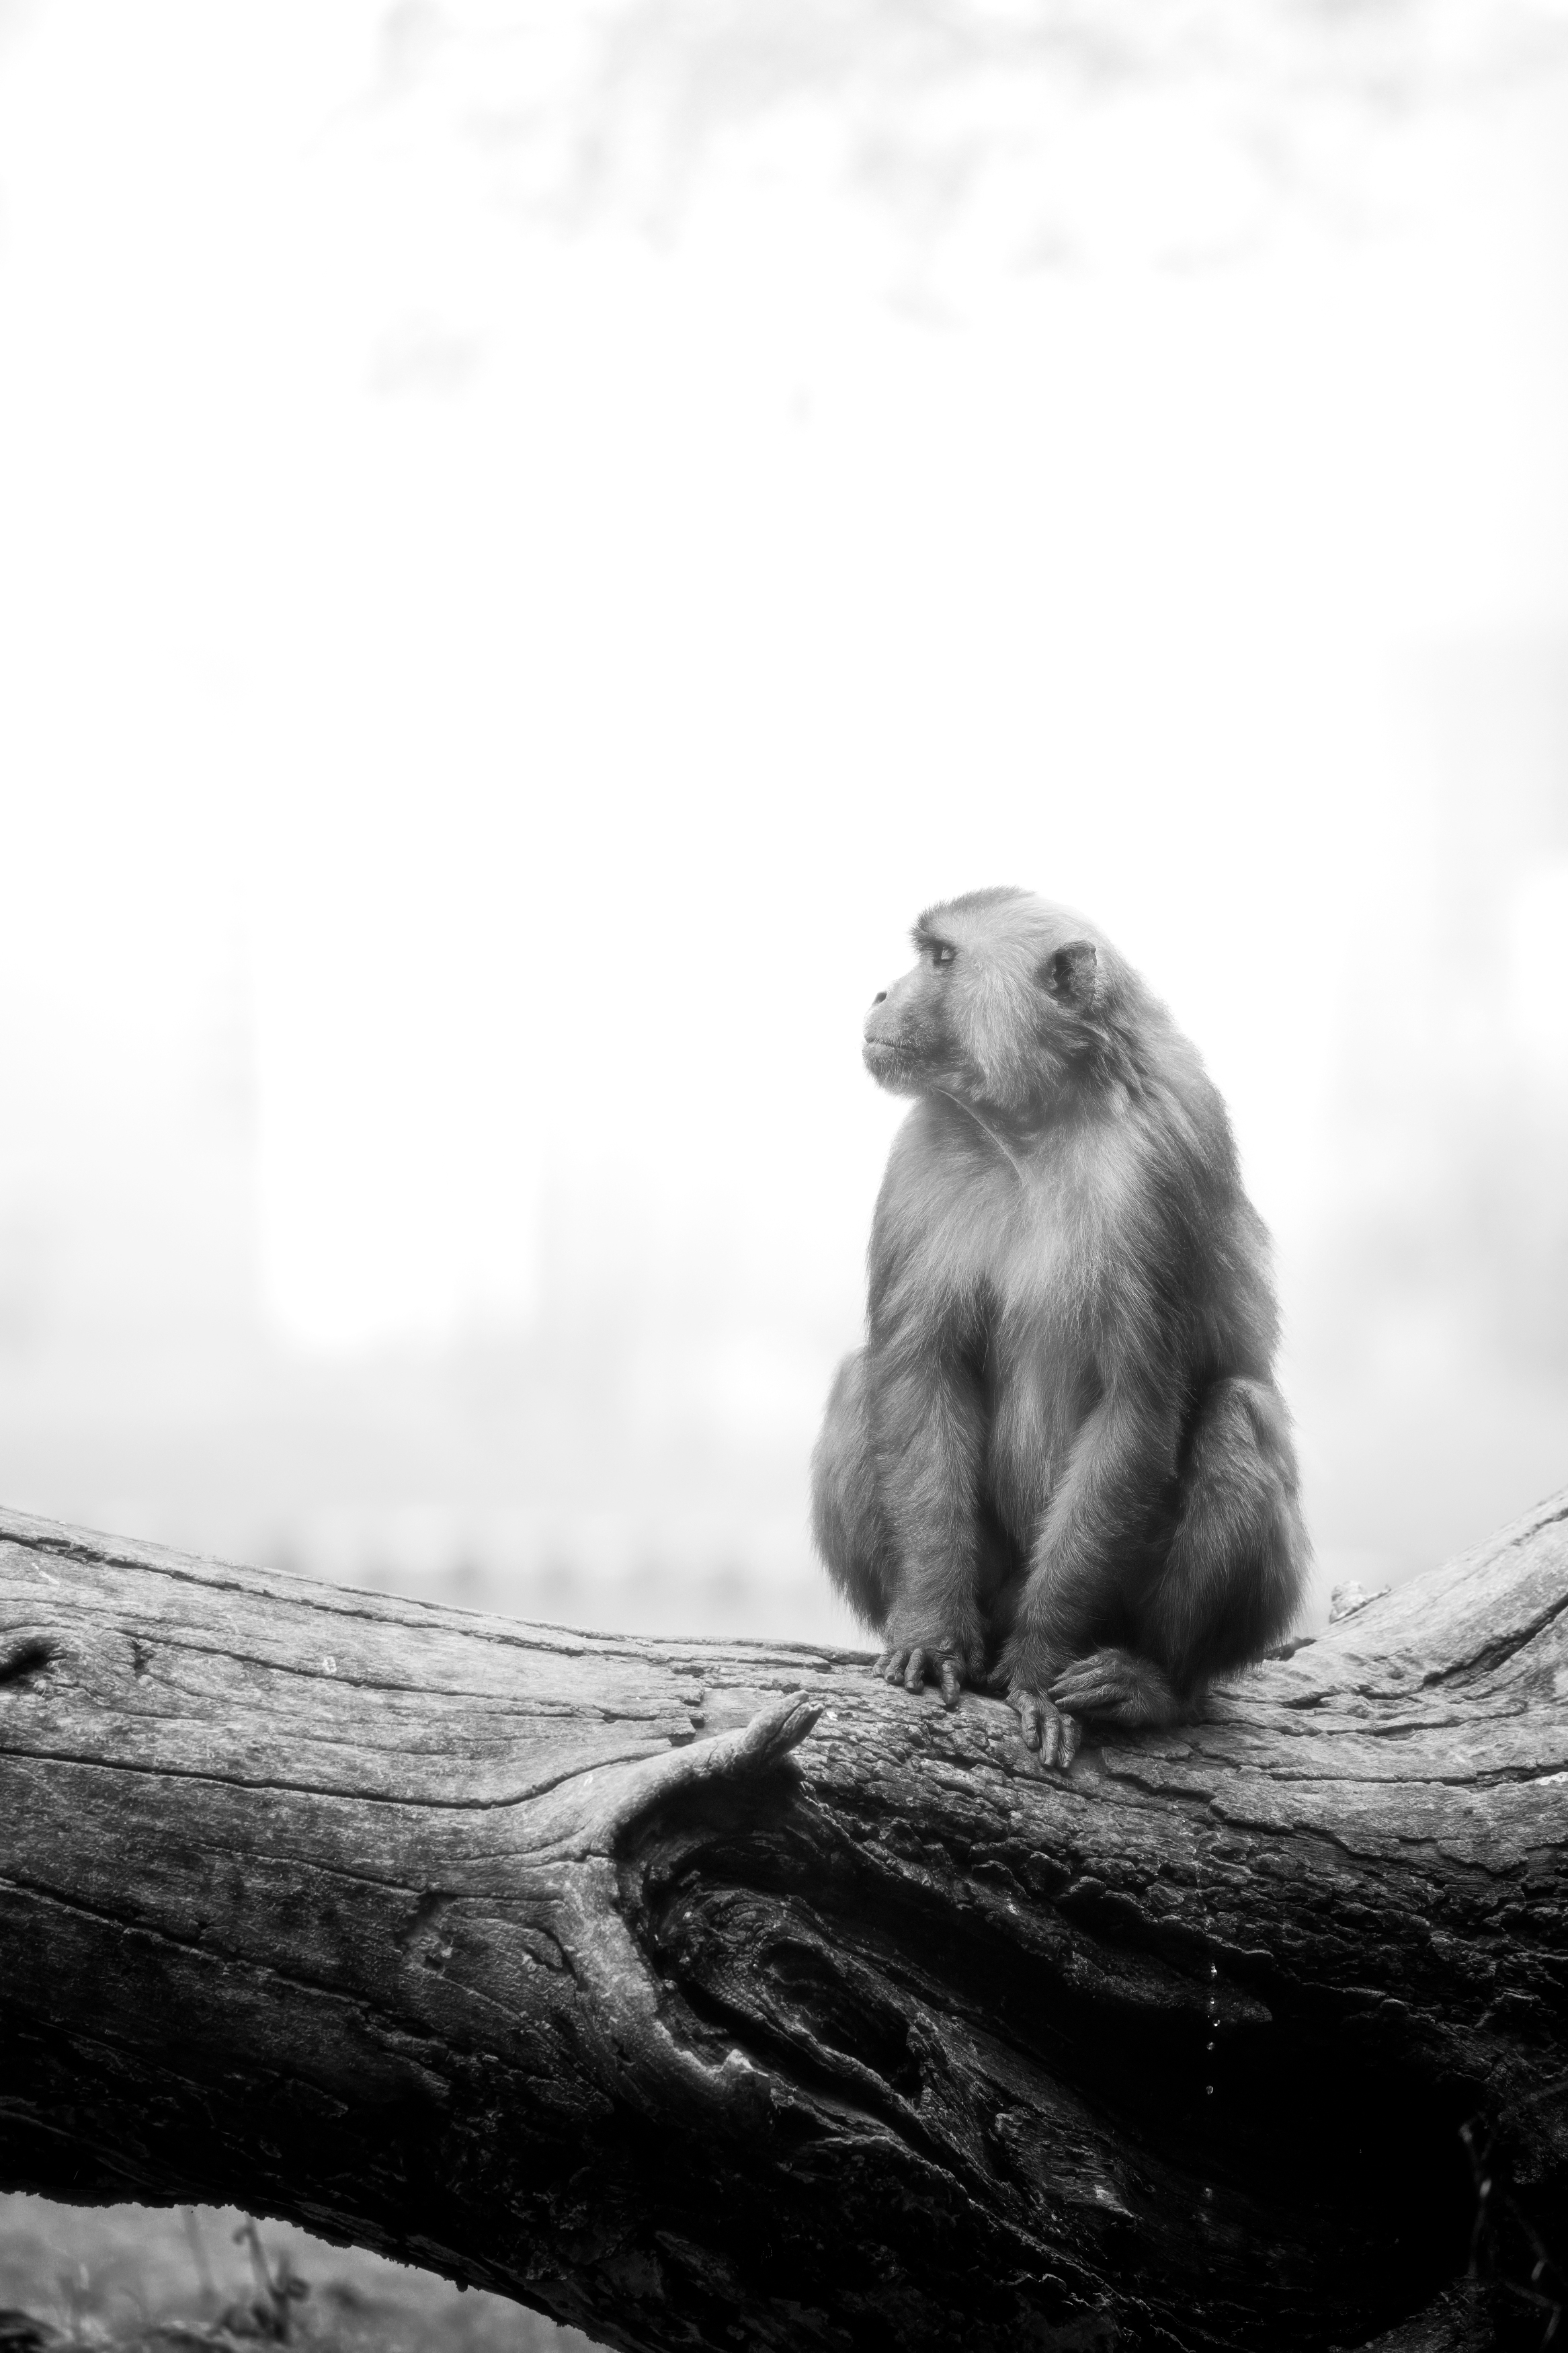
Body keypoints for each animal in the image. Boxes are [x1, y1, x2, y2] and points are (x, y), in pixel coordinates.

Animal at [818, 885, 1307, 1769]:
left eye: (940, 958)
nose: (878, 993)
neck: (1034, 1128)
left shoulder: (1159, 1173)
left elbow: (1134, 1410)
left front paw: (1040, 1669)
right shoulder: (920, 1154)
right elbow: (919, 1370)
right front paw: (931, 1630)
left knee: (1236, 1411)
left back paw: (1155, 1681)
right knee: (856, 1381)